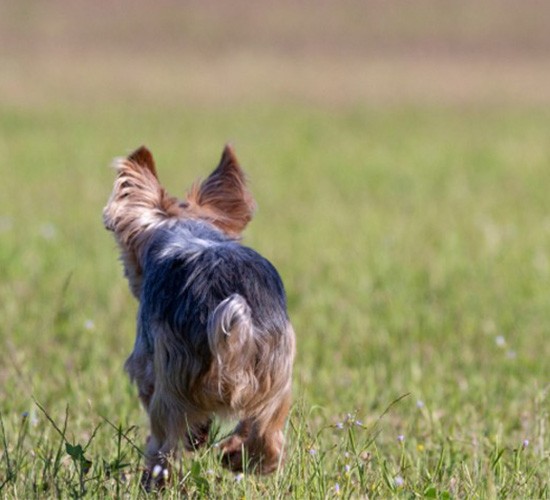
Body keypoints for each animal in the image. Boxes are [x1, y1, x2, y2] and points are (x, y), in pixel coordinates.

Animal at [102, 146, 296, 484]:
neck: (187, 231)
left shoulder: (146, 363)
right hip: (277, 375)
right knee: (268, 439)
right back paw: (235, 456)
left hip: (172, 382)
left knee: (164, 447)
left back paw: (152, 480)